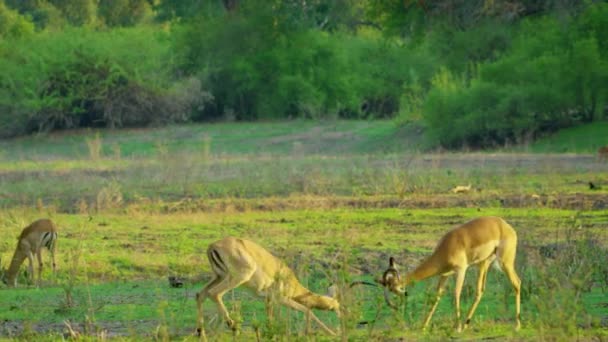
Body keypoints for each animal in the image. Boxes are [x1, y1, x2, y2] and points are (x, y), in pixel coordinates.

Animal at [195, 236, 340, 338]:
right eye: (336, 304)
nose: (340, 314)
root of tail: (212, 246)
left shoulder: (268, 299)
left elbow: (269, 316)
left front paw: (271, 333)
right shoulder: (281, 298)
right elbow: (307, 310)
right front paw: (332, 333)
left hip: (219, 276)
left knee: (200, 294)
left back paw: (201, 332)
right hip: (238, 277)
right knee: (214, 293)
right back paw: (233, 327)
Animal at [378, 216, 520, 332]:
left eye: (392, 288)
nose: (393, 305)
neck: (446, 247)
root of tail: (506, 226)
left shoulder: (461, 270)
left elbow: (456, 294)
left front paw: (457, 327)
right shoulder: (445, 274)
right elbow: (437, 296)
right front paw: (423, 326)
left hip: (505, 262)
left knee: (516, 283)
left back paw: (517, 326)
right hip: (483, 263)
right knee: (480, 290)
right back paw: (466, 324)